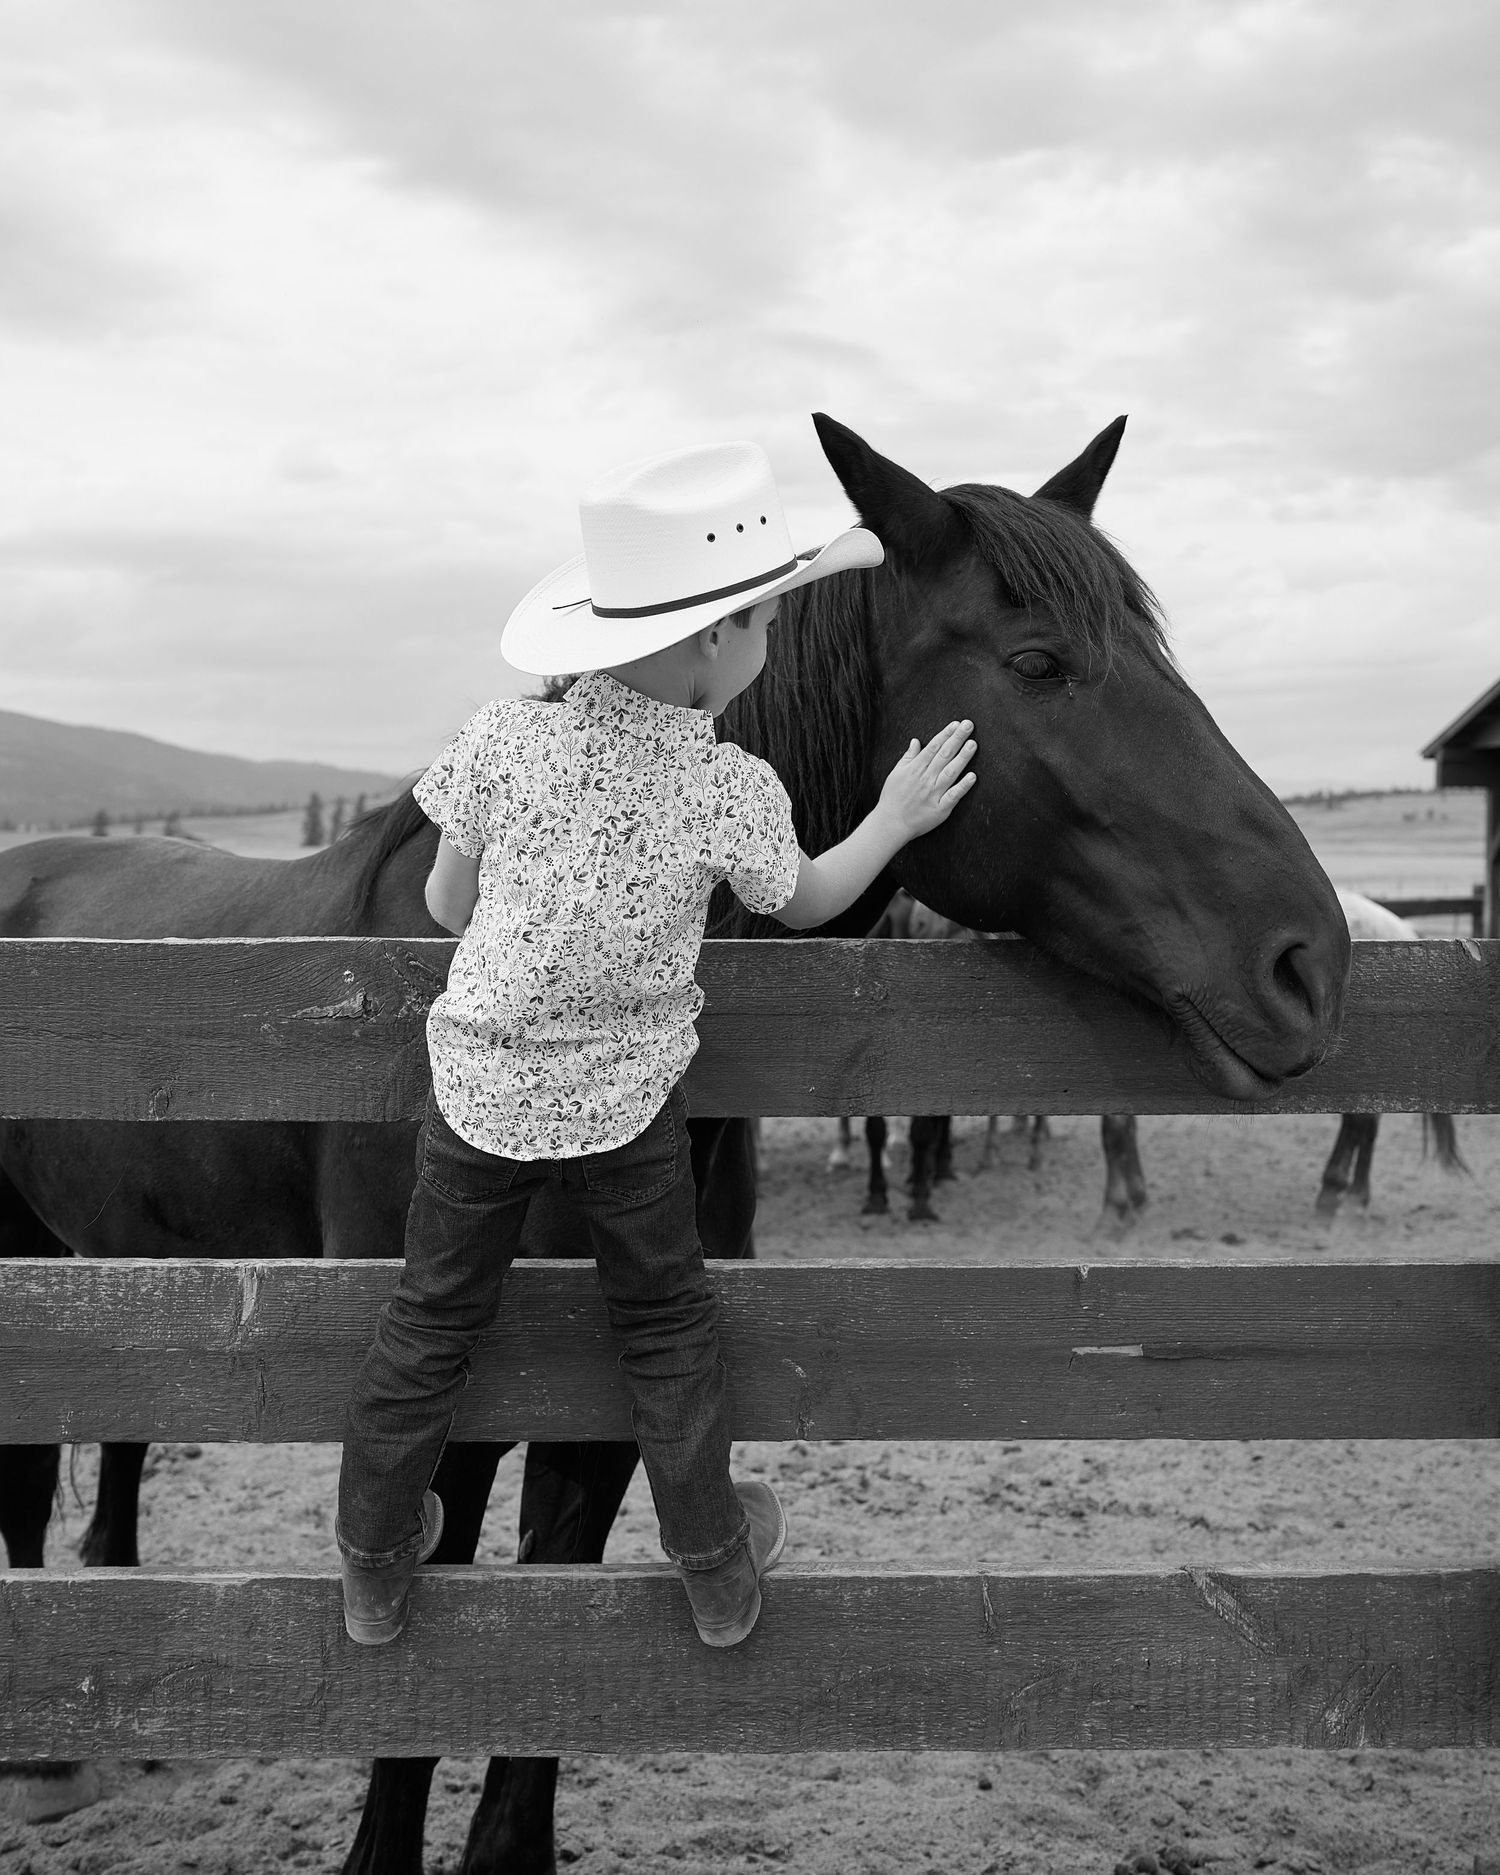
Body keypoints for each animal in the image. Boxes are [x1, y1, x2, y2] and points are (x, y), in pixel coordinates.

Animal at [0, 410, 1351, 1875]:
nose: (1308, 961)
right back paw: (44, 1754)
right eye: (1039, 662)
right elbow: (423, 1663)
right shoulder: (455, 1419)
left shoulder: (599, 1417)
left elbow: (558, 1638)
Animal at [1093, 888, 1467, 1232]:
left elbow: (1114, 1132)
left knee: (1363, 1124)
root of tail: (1400, 927)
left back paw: (1345, 1199)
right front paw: (1134, 1199)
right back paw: (1343, 1196)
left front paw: (1116, 1207)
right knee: (1361, 1125)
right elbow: (1122, 1130)